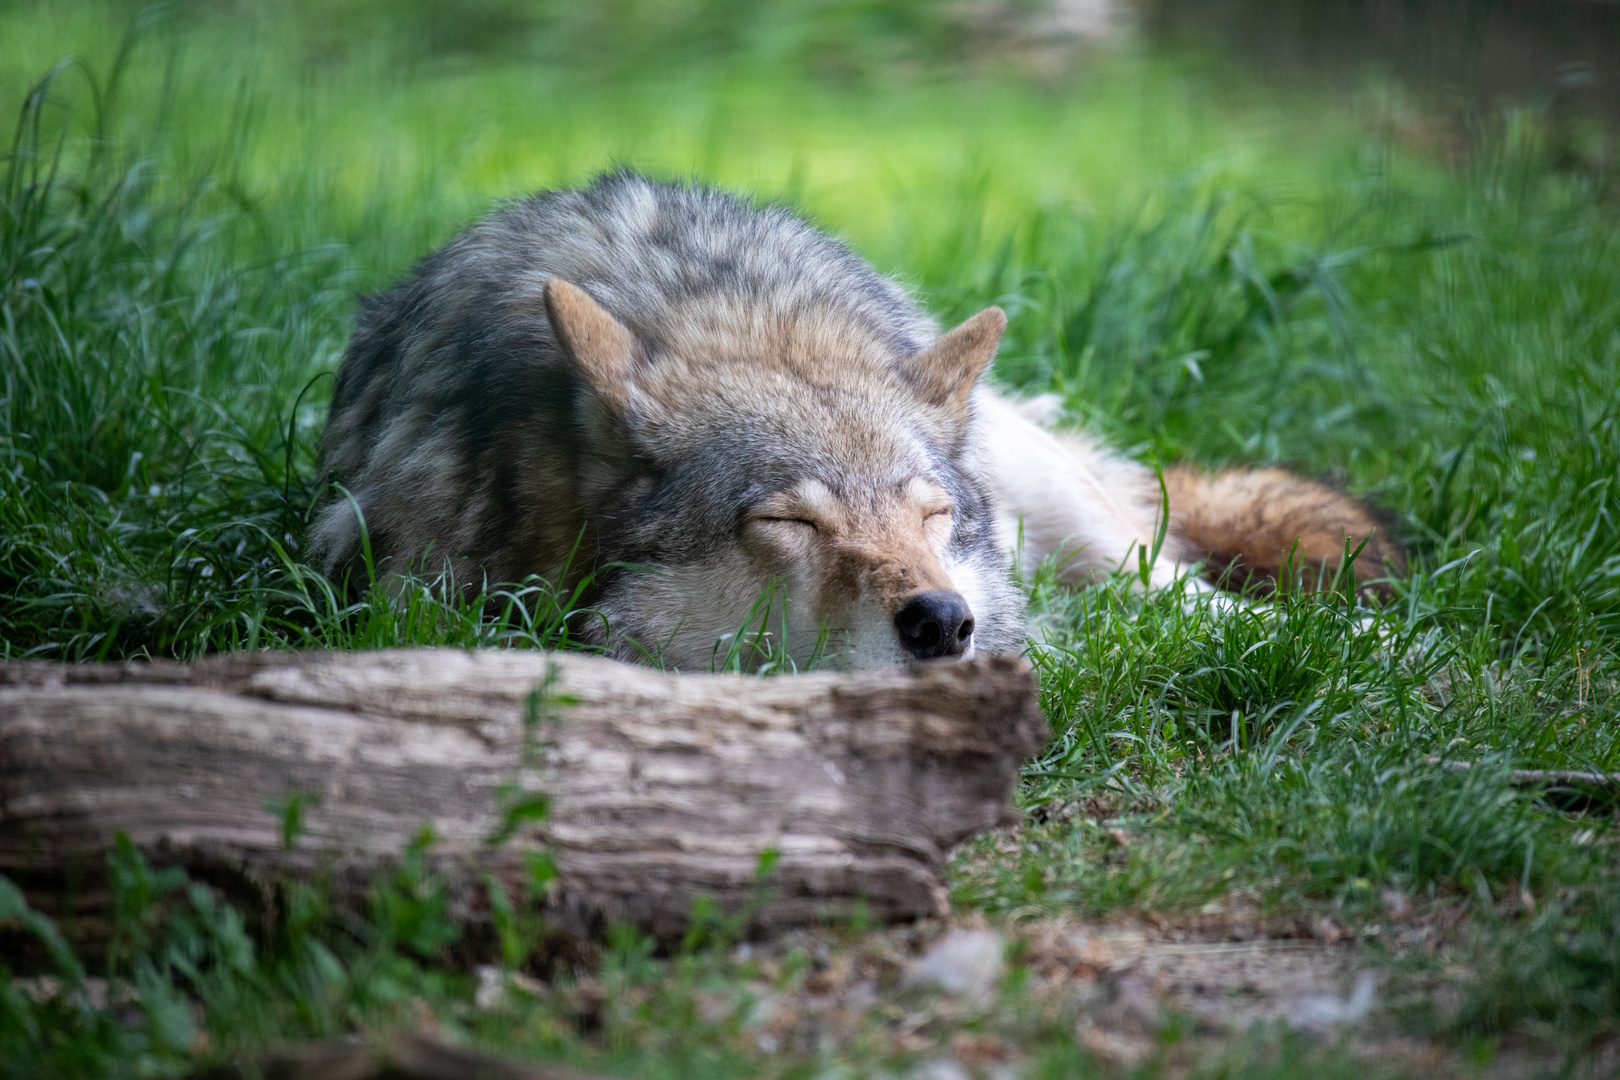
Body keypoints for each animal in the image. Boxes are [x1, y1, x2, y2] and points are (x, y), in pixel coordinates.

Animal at [312, 173, 1393, 670]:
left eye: (930, 518)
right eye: (790, 522)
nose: (945, 623)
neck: (738, 316)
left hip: (1071, 507)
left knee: (1183, 589)